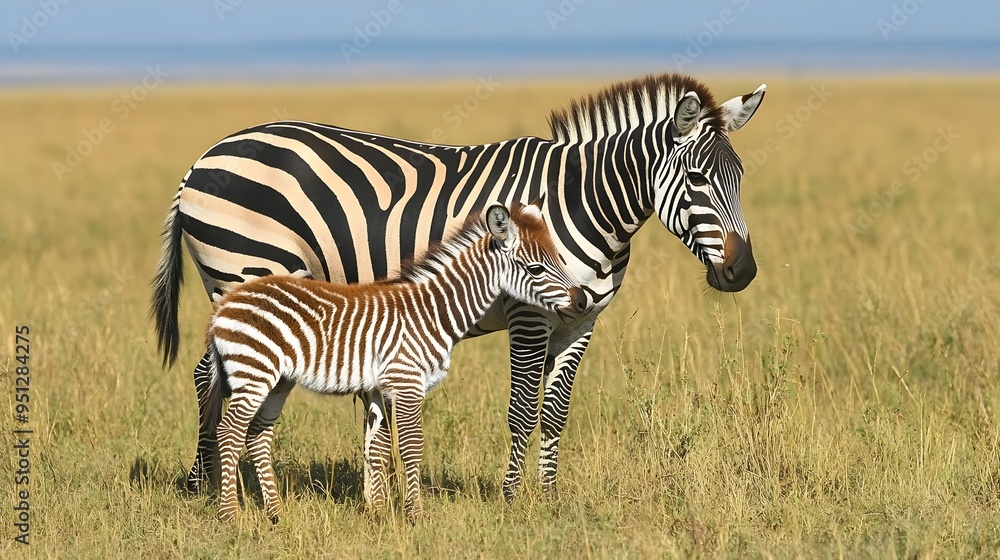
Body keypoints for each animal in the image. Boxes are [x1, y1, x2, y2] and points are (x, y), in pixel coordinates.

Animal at [204, 203, 584, 522]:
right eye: (536, 268)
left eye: (560, 259)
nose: (582, 302)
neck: (432, 312)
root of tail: (225, 306)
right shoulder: (406, 381)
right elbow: (412, 446)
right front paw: (415, 515)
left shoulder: (380, 386)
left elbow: (379, 447)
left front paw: (382, 513)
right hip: (254, 371)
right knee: (229, 431)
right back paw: (229, 515)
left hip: (278, 380)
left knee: (257, 433)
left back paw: (275, 513)